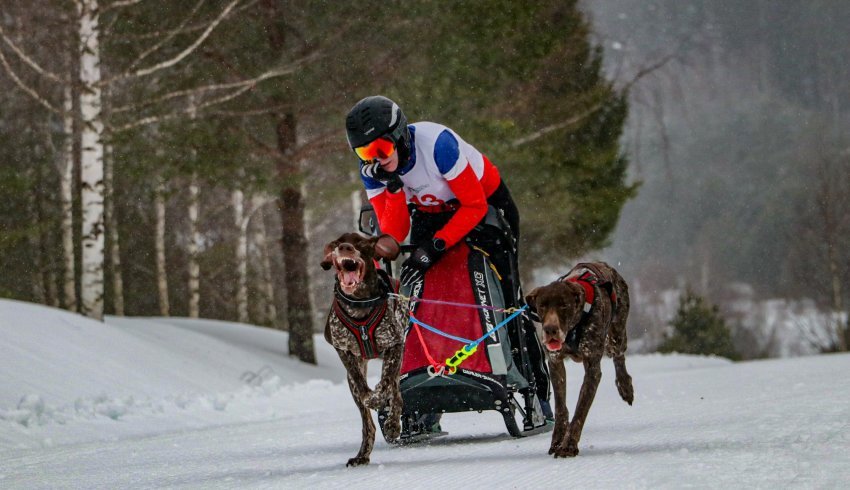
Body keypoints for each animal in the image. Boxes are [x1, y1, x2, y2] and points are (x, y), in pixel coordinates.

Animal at [322, 234, 408, 468]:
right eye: (336, 243)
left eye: (361, 243)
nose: (345, 247)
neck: (359, 303)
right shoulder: (344, 351)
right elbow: (362, 386)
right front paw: (371, 397)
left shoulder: (395, 345)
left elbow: (386, 383)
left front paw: (379, 399)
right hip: (352, 384)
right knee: (367, 423)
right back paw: (362, 455)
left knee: (396, 393)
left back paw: (393, 424)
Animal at [520, 262, 632, 458]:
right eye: (542, 306)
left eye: (564, 305)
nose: (550, 329)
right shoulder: (555, 363)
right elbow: (560, 407)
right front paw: (557, 441)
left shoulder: (592, 369)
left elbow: (581, 410)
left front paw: (568, 445)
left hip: (616, 335)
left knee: (618, 355)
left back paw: (625, 386)